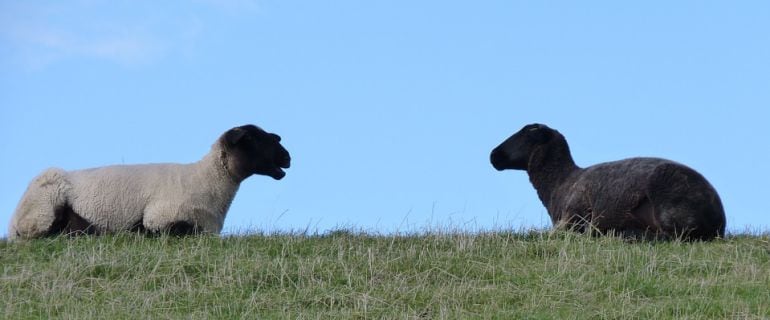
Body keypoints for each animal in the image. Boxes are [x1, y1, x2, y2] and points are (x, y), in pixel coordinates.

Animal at [8, 124, 292, 239]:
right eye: (253, 138)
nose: (288, 157)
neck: (207, 180)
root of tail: (12, 224)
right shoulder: (161, 217)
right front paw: (136, 233)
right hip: (45, 204)